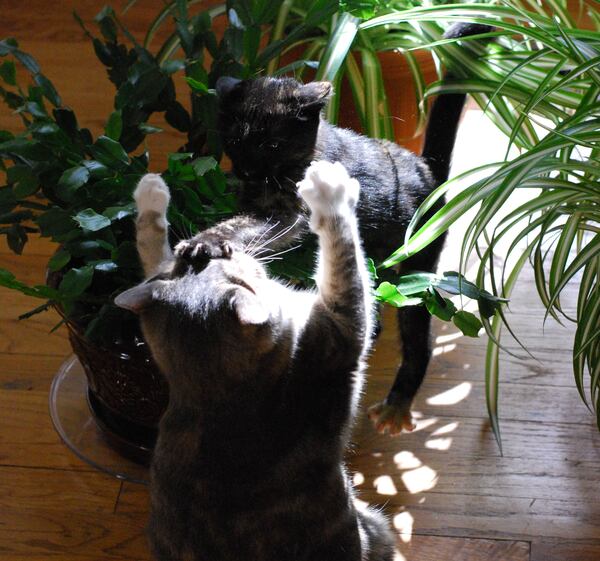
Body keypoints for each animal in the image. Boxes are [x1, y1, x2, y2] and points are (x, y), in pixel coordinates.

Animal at [116, 160, 398, 556]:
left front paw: (151, 195)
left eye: (196, 264)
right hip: (377, 524)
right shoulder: (339, 336)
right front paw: (327, 189)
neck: (218, 398)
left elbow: (152, 250)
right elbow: (344, 257)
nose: (200, 253)